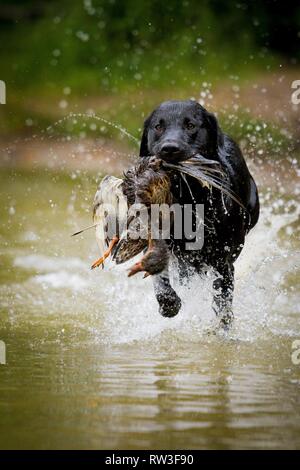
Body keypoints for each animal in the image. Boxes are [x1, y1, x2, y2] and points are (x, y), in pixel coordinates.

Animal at [139, 100, 258, 324]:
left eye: (191, 125)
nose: (169, 148)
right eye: (158, 126)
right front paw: (169, 304)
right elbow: (158, 277)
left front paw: (222, 325)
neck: (187, 199)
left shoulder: (223, 261)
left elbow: (222, 299)